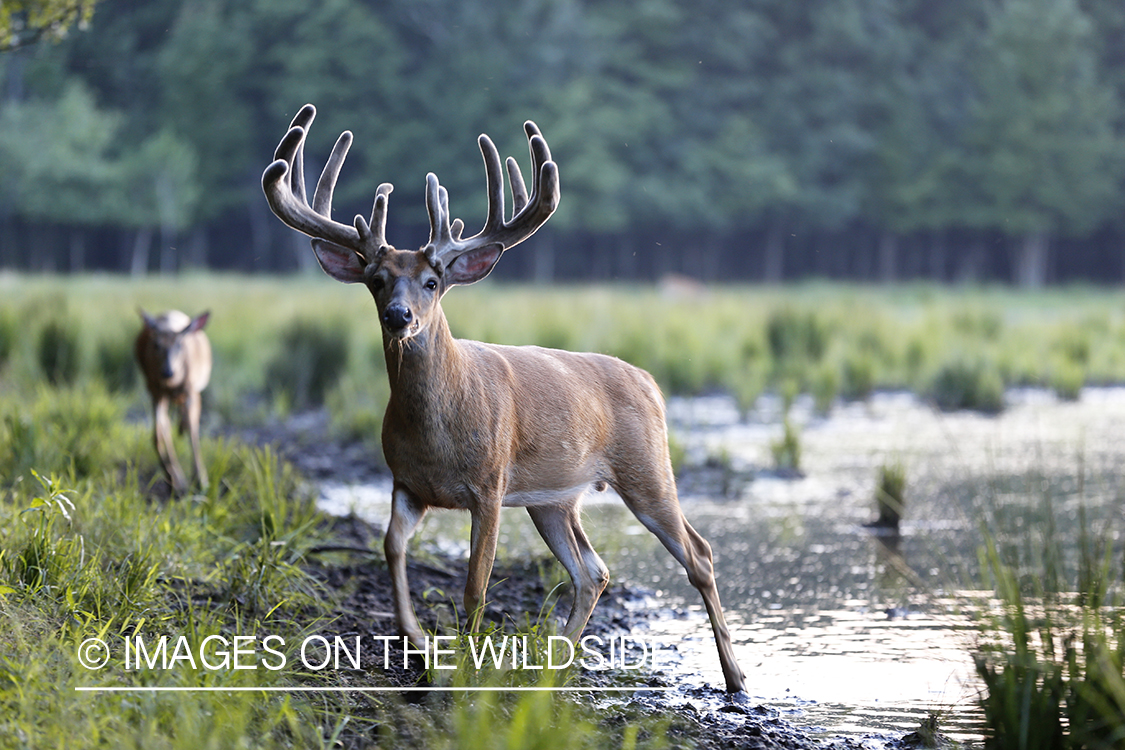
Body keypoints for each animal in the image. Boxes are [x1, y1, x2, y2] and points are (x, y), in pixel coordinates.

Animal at [135, 309, 212, 495]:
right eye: (156, 345)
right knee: (165, 427)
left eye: (179, 345)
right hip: (157, 391)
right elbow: (157, 434)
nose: (167, 371)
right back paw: (175, 481)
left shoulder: (191, 390)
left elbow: (193, 433)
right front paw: (177, 482)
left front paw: (201, 480)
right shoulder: (155, 389)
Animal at [262, 104, 747, 693]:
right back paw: (553, 665)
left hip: (647, 467)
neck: (437, 433)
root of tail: (649, 380)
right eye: (377, 279)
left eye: (432, 281)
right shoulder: (405, 481)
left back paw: (736, 678)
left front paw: (463, 665)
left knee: (699, 553)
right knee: (593, 570)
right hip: (555, 499)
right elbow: (392, 550)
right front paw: (419, 646)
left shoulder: (489, 485)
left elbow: (475, 586)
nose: (398, 316)